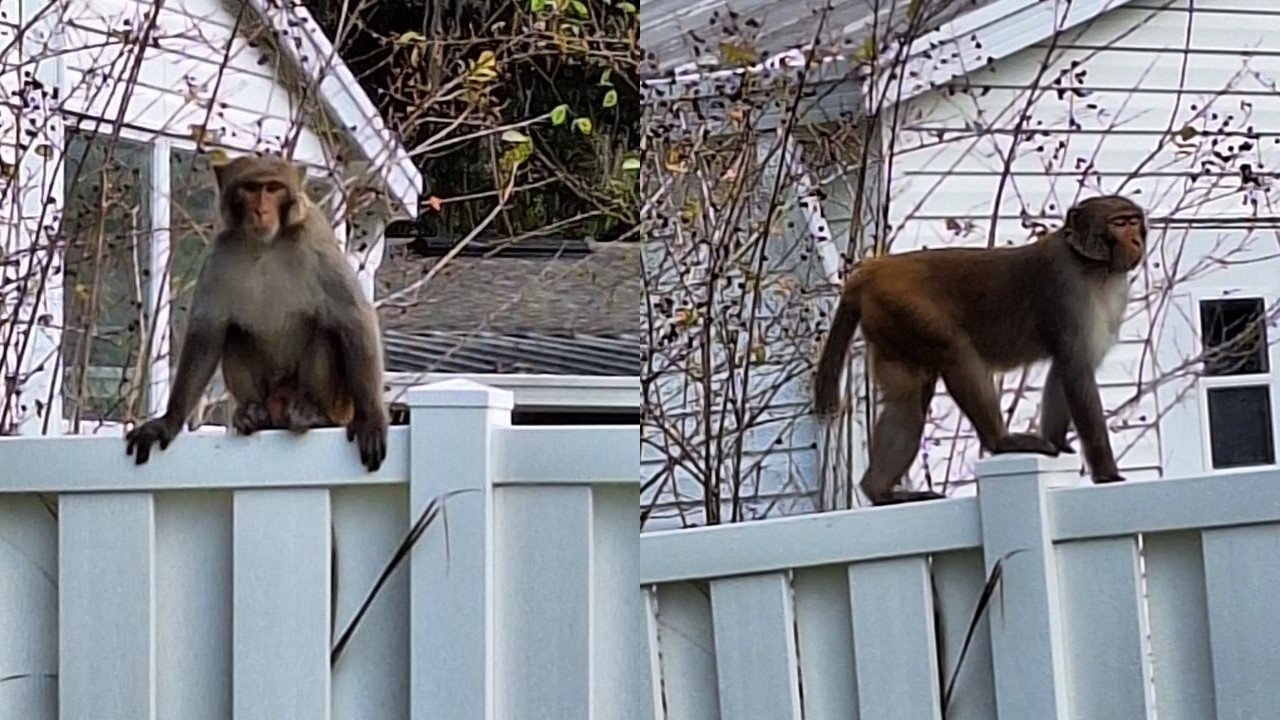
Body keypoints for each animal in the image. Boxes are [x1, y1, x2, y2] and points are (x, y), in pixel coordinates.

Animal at [124, 152, 386, 471]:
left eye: (273, 188)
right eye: (250, 189)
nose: (261, 210)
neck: (266, 243)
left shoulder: (315, 241)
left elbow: (354, 318)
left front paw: (371, 418)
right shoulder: (220, 251)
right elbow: (207, 333)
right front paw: (168, 421)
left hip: (337, 401)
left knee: (324, 331)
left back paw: (312, 412)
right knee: (233, 333)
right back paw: (253, 414)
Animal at [814, 193, 1146, 502]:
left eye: (1133, 221)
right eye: (1119, 223)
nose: (1136, 240)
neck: (1091, 266)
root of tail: (872, 271)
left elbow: (1069, 369)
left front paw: (1057, 441)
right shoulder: (1064, 282)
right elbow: (1076, 369)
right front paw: (1108, 475)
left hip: (889, 324)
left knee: (905, 402)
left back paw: (880, 491)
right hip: (902, 305)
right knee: (956, 351)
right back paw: (1000, 441)